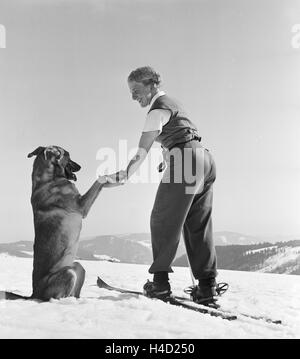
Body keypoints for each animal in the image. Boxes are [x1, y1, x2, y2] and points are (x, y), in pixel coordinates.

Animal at [0, 145, 106, 302]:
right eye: (68, 155)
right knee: (56, 298)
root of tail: (34, 294)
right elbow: (98, 183)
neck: (50, 178)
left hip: (77, 266)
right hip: (68, 273)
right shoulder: (81, 206)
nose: (80, 166)